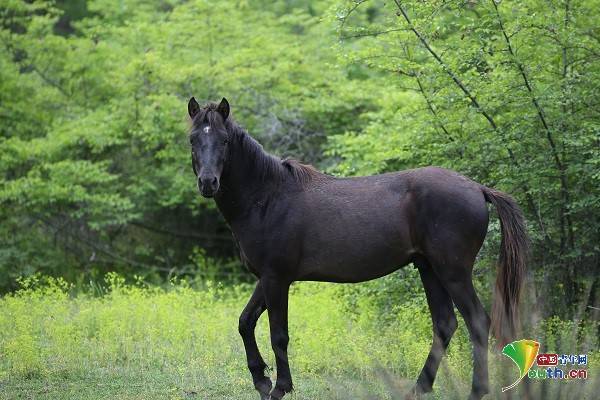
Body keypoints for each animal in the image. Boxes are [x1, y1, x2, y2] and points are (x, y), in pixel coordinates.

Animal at [186, 97, 524, 400]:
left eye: (224, 140)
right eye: (193, 139)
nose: (208, 183)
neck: (268, 197)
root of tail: (477, 188)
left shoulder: (276, 279)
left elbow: (278, 335)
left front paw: (280, 387)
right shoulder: (266, 279)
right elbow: (245, 322)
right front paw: (261, 381)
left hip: (452, 271)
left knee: (476, 322)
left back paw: (476, 391)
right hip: (429, 268)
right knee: (445, 324)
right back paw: (418, 388)